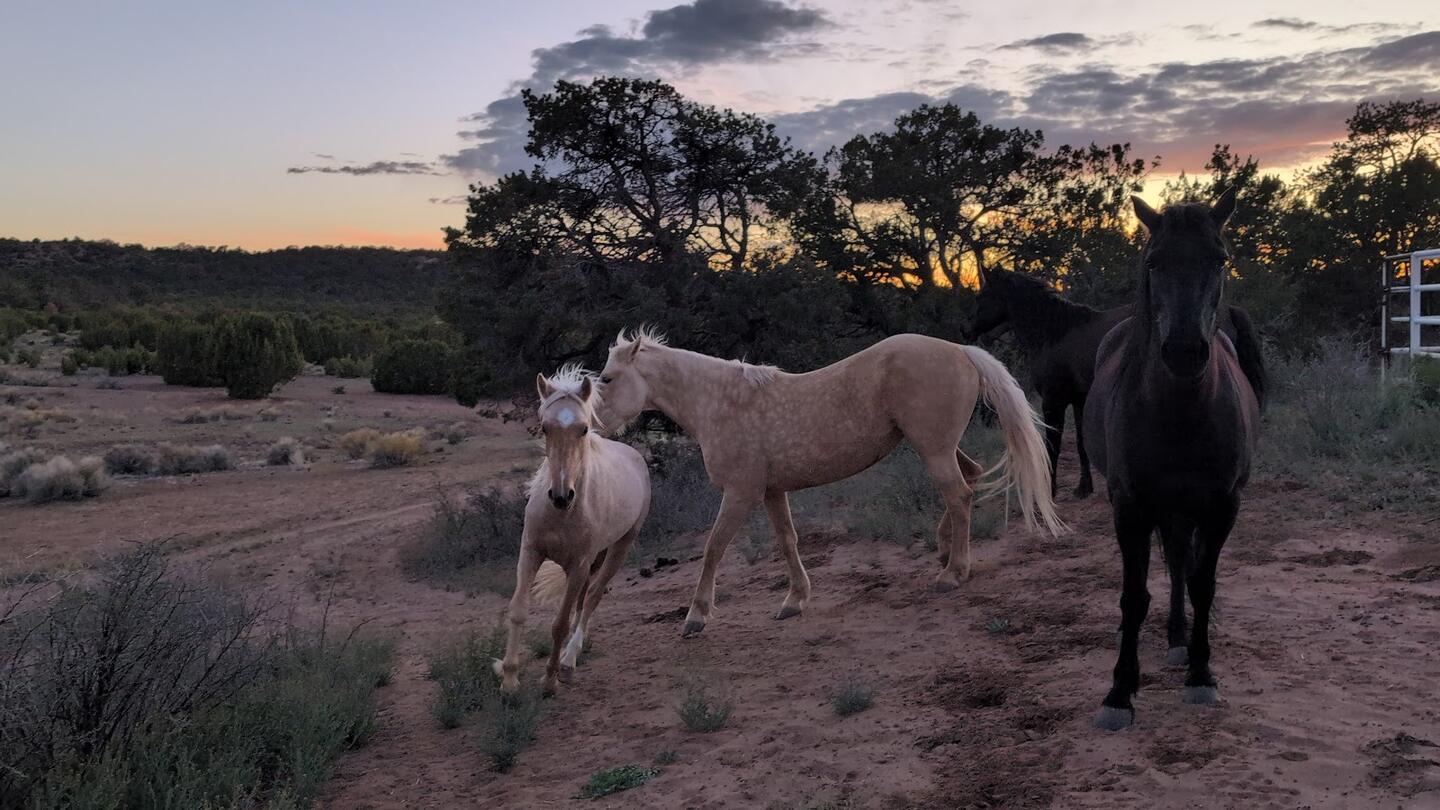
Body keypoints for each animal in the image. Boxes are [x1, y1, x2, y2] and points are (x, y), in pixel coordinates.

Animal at [492, 366, 651, 696]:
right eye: (544, 428)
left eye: (583, 429)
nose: (561, 496)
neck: (561, 515)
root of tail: (635, 456)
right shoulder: (531, 552)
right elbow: (518, 610)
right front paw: (509, 680)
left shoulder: (578, 565)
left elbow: (560, 624)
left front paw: (549, 680)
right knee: (583, 601)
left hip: (619, 548)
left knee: (592, 598)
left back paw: (567, 662)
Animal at [594, 329, 1065, 638]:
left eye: (607, 379)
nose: (593, 428)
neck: (721, 403)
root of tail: (961, 351)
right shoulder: (771, 491)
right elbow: (787, 541)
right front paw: (794, 601)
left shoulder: (741, 493)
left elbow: (713, 548)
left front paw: (696, 617)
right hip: (937, 447)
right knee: (970, 478)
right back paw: (946, 552)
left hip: (932, 449)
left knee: (960, 495)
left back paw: (953, 573)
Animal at [966, 268, 1267, 500]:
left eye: (982, 296)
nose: (966, 330)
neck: (1056, 333)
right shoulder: (1079, 400)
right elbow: (1082, 445)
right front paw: (1083, 488)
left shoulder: (1054, 401)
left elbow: (1054, 445)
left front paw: (1050, 493)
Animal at [1084, 189, 1260, 731]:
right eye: (1154, 262)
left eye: (1219, 259)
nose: (1184, 352)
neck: (1181, 412)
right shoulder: (1131, 508)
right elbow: (1133, 595)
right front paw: (1119, 692)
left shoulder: (1223, 506)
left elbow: (1203, 583)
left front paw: (1202, 674)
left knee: (1184, 566)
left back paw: (1181, 642)